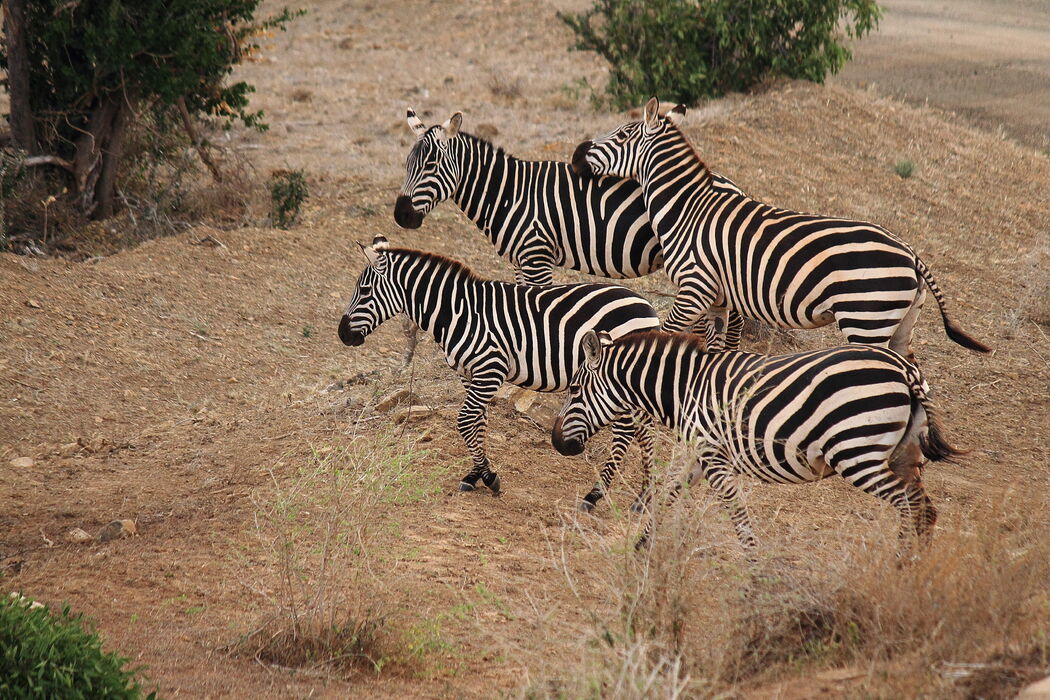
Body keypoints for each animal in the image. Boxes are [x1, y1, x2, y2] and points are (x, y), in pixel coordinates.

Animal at [340, 237, 659, 510]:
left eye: (364, 292)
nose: (343, 335)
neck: (458, 313)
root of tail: (646, 305)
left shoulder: (489, 370)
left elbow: (464, 421)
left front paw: (490, 477)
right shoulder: (470, 374)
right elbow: (478, 422)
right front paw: (475, 475)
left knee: (627, 433)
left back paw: (596, 495)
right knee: (645, 433)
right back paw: (643, 497)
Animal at [554, 331, 961, 549]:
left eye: (573, 388)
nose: (558, 443)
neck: (685, 387)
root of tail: (905, 369)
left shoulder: (713, 455)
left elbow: (736, 513)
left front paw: (753, 567)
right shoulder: (700, 452)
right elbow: (668, 495)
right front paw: (642, 545)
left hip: (856, 453)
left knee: (910, 506)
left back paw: (900, 568)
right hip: (903, 455)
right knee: (925, 510)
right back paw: (910, 572)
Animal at [571, 97, 986, 361]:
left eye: (621, 135)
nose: (577, 153)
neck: (687, 209)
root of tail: (910, 253)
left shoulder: (695, 286)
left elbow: (666, 333)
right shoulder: (718, 296)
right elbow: (713, 345)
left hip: (867, 318)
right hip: (901, 322)